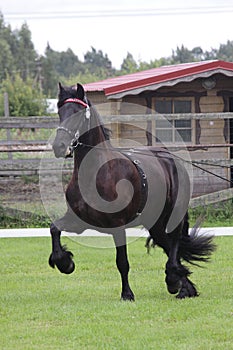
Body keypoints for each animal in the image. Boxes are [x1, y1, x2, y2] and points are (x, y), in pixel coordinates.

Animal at [48, 82, 216, 300]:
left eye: (77, 112)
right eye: (60, 112)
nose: (59, 146)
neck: (97, 173)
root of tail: (172, 160)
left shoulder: (117, 225)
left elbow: (122, 262)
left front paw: (127, 294)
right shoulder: (78, 221)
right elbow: (54, 229)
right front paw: (65, 263)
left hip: (171, 217)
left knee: (175, 243)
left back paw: (173, 281)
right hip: (155, 224)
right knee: (169, 245)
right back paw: (185, 288)